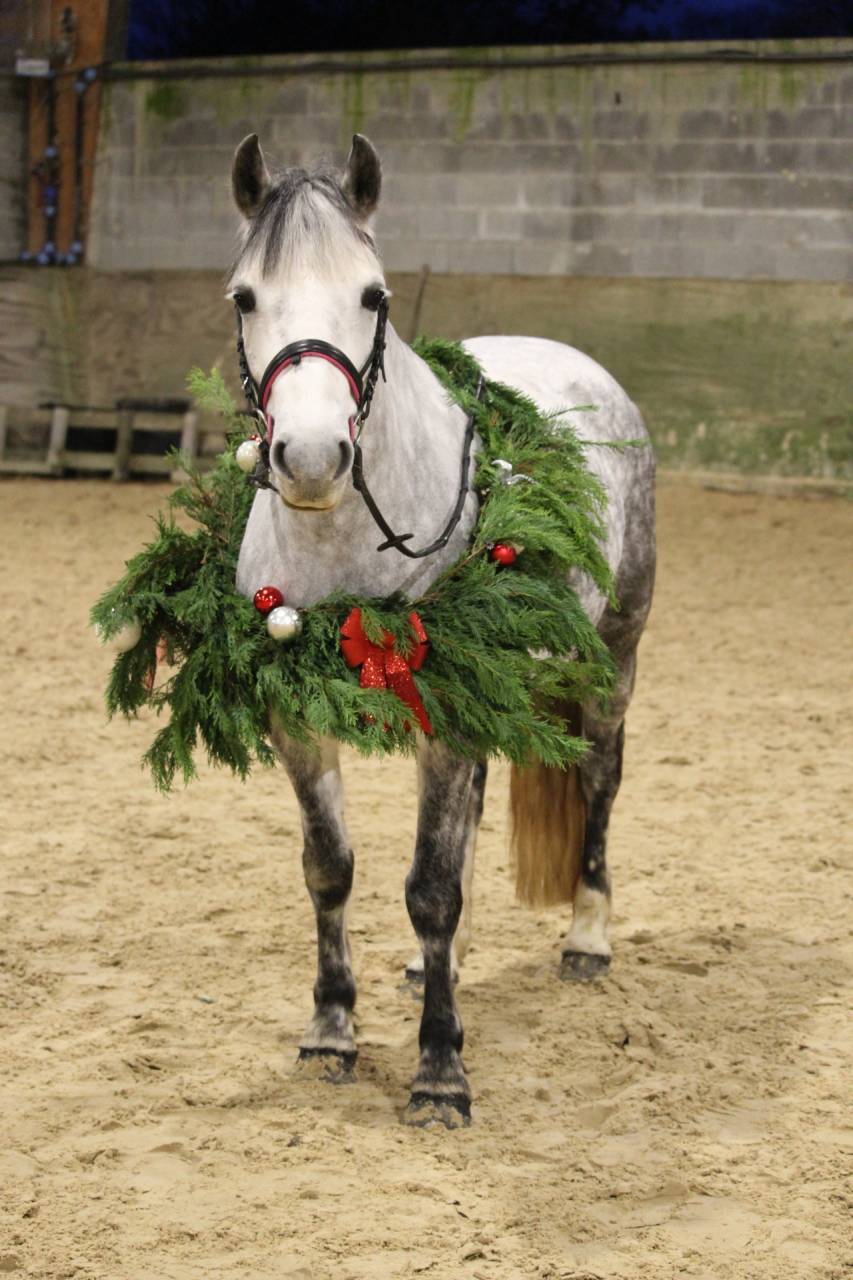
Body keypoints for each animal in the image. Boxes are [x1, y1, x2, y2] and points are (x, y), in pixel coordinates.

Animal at [229, 133, 656, 1127]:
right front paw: (331, 1032)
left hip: (609, 661)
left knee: (599, 781)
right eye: (244, 297)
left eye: (372, 295)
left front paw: (438, 1073)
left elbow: (431, 886)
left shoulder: (451, 721)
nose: (312, 458)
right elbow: (330, 869)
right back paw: (438, 970)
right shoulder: (297, 722)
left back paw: (587, 938)